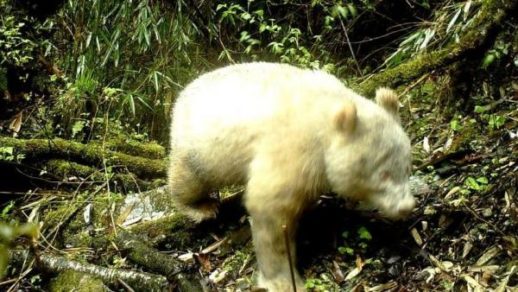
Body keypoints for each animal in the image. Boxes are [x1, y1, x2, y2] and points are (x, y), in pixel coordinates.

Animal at [169, 62, 416, 290]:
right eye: (383, 174)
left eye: (406, 168)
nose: (406, 206)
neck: (327, 116)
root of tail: (182, 94)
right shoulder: (294, 148)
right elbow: (270, 208)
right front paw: (283, 280)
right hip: (199, 147)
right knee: (189, 179)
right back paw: (201, 207)